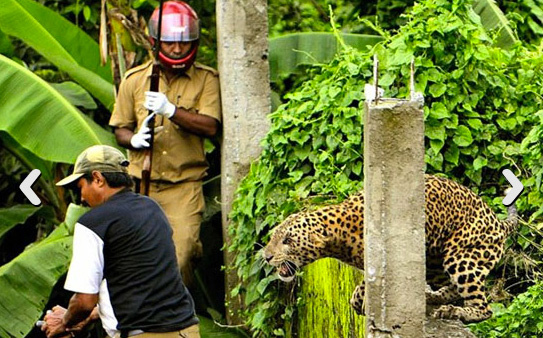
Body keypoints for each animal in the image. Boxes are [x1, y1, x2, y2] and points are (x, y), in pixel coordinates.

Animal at [264, 176, 520, 324]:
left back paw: (456, 312)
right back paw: (432, 297)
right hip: (435, 260)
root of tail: (499, 222)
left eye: (288, 240)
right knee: (452, 288)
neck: (338, 235)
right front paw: (359, 301)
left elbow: (368, 284)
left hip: (461, 257)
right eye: (273, 236)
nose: (266, 256)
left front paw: (362, 300)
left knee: (484, 308)